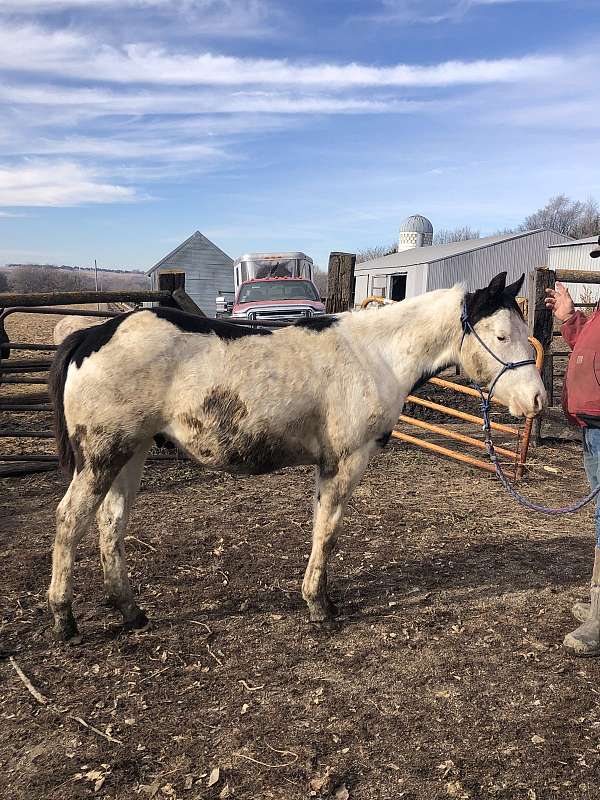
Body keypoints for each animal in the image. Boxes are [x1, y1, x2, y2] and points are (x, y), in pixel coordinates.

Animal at [47, 271, 546, 642]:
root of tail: (94, 334)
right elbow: (327, 533)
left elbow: (320, 530)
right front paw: (320, 607)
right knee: (70, 520)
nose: (537, 400)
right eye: (501, 335)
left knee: (111, 524)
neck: (374, 354)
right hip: (103, 458)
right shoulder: (344, 463)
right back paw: (64, 621)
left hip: (129, 455)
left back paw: (131, 612)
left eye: (524, 333)